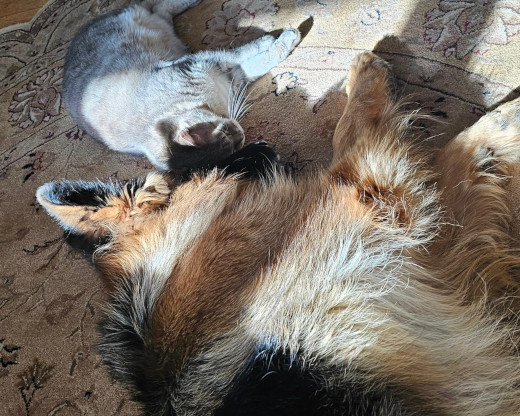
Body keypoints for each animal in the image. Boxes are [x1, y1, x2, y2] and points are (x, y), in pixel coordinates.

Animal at [63, 0, 300, 171]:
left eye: (226, 133)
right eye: (233, 144)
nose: (241, 135)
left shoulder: (202, 62)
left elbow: (245, 53)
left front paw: (280, 38)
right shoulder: (227, 73)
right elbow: (257, 62)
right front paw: (280, 40)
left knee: (158, 5)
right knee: (159, 9)